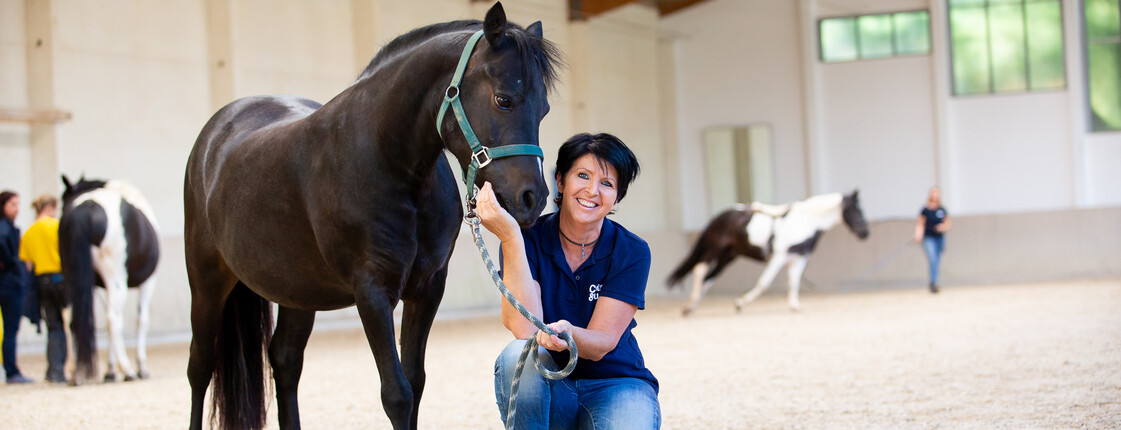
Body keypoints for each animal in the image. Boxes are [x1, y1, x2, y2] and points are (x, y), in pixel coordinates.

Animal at [58, 174, 161, 384]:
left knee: (69, 317)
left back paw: (74, 372)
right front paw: (140, 367)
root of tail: (87, 207)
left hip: (72, 275)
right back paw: (128, 370)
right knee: (113, 319)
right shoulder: (148, 282)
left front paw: (111, 371)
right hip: (116, 278)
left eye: (63, 201)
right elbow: (141, 320)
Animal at [183, 3, 559, 429]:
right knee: (200, 364)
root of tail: (216, 135)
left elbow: (416, 382)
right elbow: (397, 394)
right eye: (504, 100)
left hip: (298, 291)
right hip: (207, 280)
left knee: (285, 362)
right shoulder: (372, 291)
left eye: (544, 110)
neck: (388, 162)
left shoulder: (428, 289)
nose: (533, 198)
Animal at [667, 190, 868, 315]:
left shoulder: (799, 258)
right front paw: (741, 302)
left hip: (729, 256)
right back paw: (691, 303)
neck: (806, 221)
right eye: (855, 210)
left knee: (709, 278)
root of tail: (719, 216)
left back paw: (692, 306)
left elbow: (793, 282)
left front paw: (795, 305)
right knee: (700, 270)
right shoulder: (779, 256)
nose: (865, 233)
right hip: (714, 250)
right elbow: (765, 282)